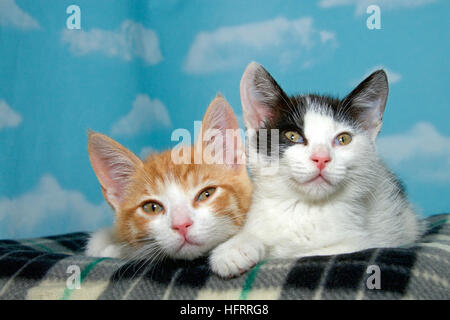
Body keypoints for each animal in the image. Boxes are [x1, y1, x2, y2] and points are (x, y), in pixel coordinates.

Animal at [209, 62, 424, 278]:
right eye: (293, 136)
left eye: (343, 139)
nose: (321, 158)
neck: (305, 209)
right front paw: (236, 247)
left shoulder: (363, 242)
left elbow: (301, 253)